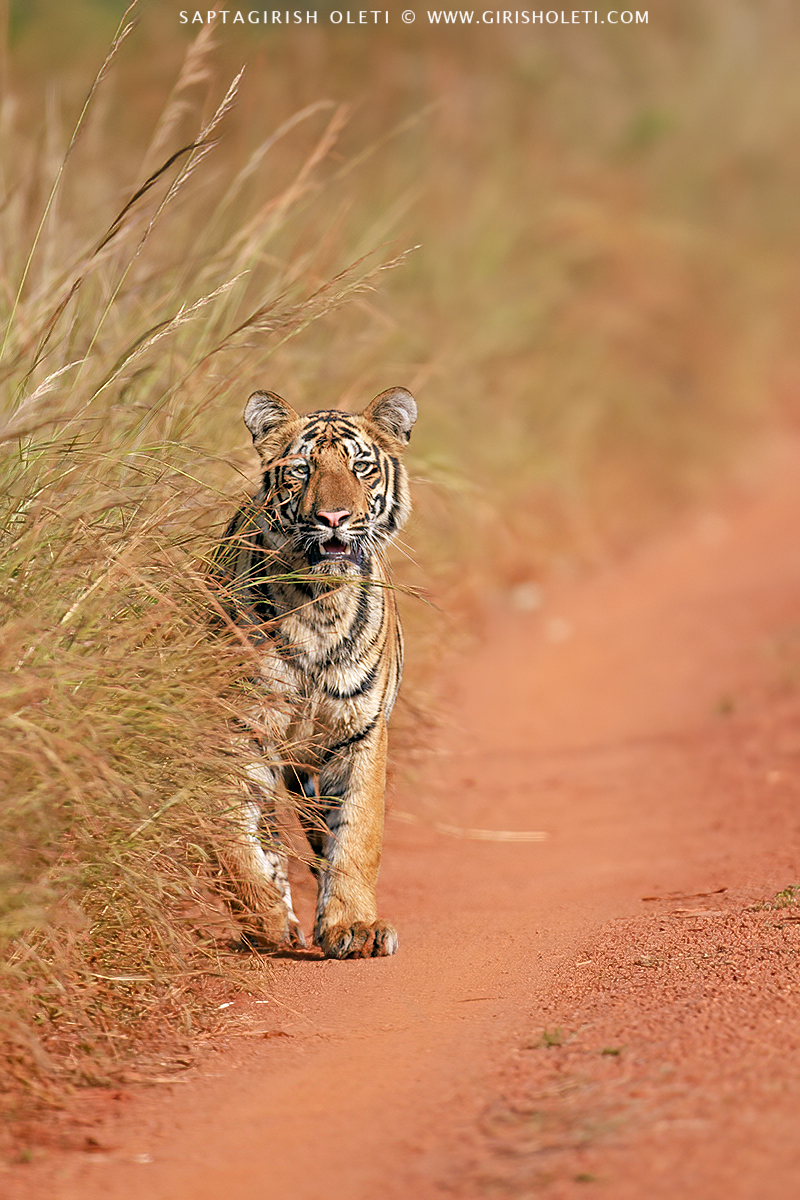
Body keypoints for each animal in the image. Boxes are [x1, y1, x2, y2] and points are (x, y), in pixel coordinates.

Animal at [213, 386, 417, 959]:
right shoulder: (241, 730)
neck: (319, 605)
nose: (333, 517)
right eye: (302, 469)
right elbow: (233, 837)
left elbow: (356, 836)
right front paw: (264, 917)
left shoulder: (358, 732)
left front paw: (354, 926)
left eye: (361, 467)